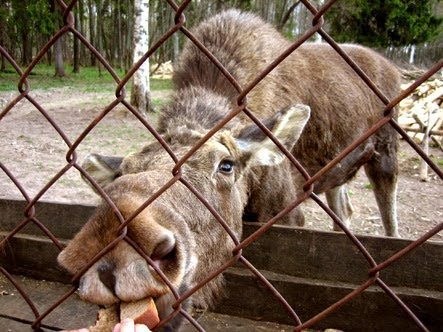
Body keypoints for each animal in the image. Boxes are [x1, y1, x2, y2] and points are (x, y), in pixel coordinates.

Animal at [59, 9, 402, 330]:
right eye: (123, 172)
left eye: (226, 165)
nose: (112, 252)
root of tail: (392, 67)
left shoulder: (289, 212)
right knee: (344, 208)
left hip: (386, 149)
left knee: (388, 214)